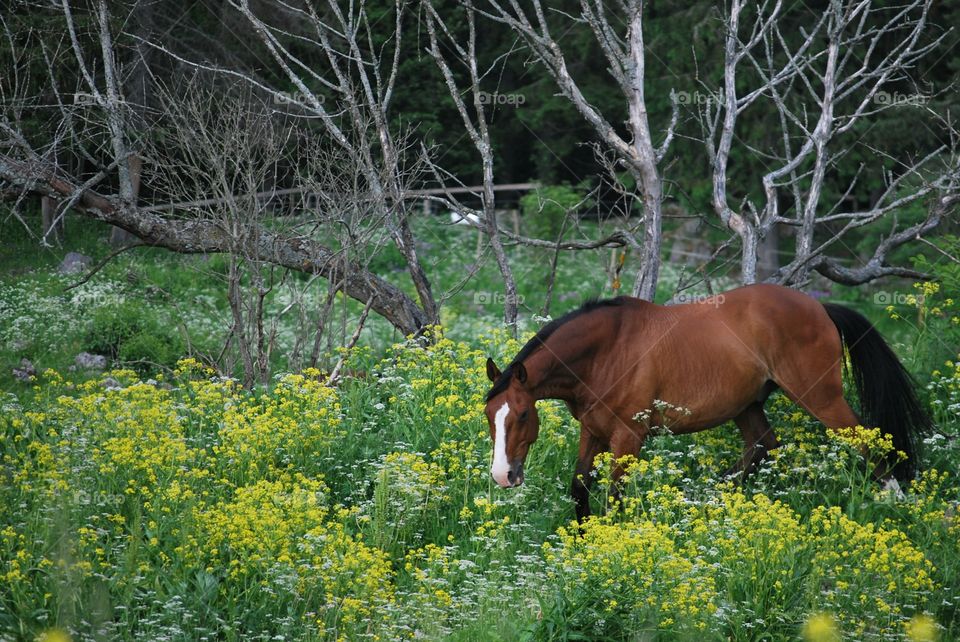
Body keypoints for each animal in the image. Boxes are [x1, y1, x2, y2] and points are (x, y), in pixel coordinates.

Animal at [484, 284, 932, 520]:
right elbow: (579, 488)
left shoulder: (628, 437)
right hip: (747, 406)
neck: (607, 349)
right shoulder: (592, 431)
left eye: (522, 414)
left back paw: (898, 503)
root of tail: (819, 306)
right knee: (762, 446)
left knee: (868, 442)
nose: (503, 476)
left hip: (820, 398)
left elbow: (615, 497)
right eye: (489, 416)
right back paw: (709, 499)